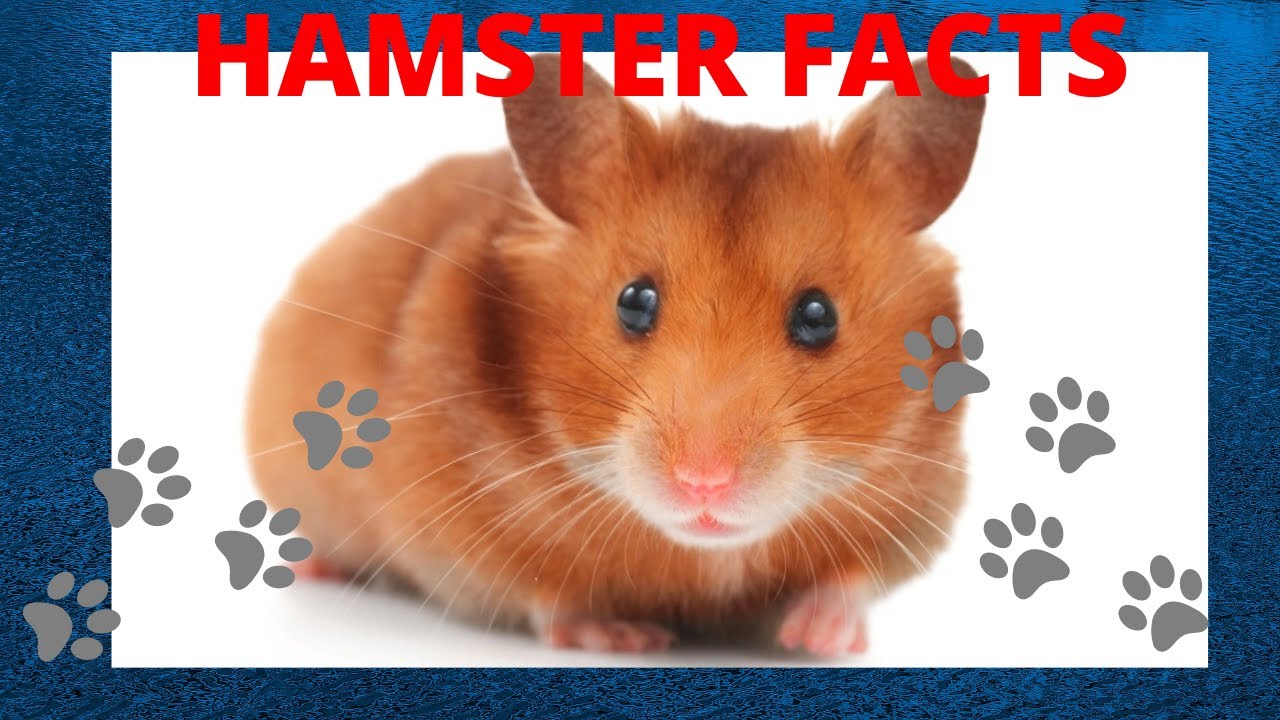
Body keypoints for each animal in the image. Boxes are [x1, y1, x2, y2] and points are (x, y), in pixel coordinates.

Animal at [246, 53, 984, 656]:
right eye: (634, 302)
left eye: (818, 315)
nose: (704, 483)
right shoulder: (459, 527)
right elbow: (549, 593)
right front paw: (628, 636)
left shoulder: (922, 503)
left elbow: (853, 578)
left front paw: (819, 638)